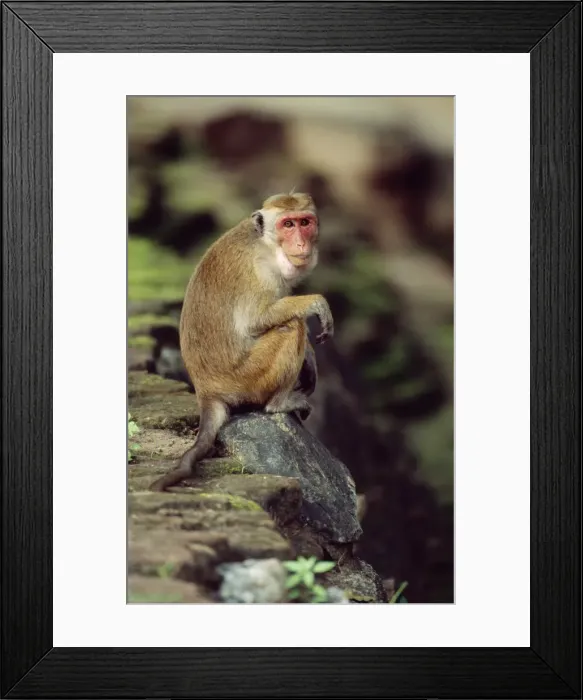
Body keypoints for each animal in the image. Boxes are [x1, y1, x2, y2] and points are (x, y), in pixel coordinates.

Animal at [149, 192, 333, 492]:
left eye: (304, 222)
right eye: (288, 224)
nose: (301, 243)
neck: (265, 242)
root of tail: (206, 391)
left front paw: (310, 358)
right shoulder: (262, 270)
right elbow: (255, 320)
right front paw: (316, 303)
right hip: (246, 379)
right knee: (291, 326)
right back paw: (279, 403)